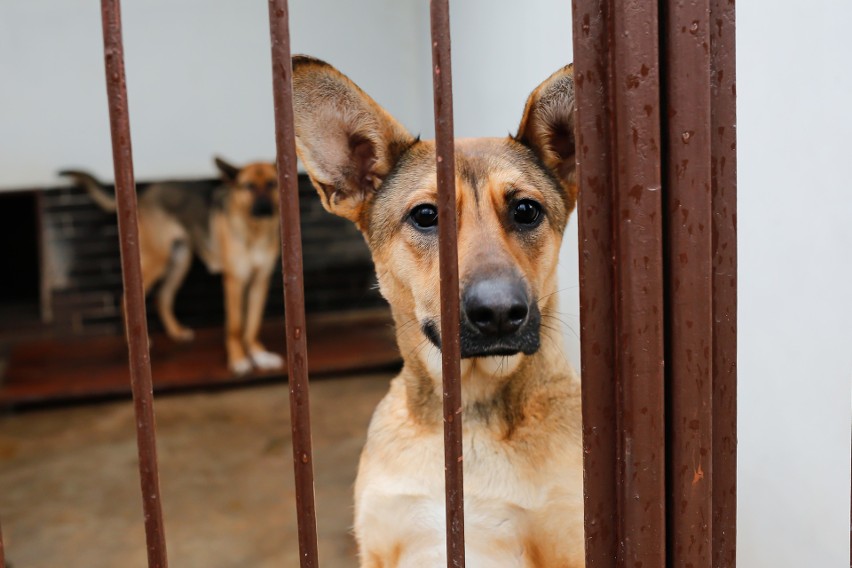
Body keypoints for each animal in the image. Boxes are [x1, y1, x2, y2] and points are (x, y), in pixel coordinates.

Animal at [64, 158, 282, 374]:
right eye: (249, 186)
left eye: (272, 184)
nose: (264, 207)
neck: (256, 231)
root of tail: (143, 195)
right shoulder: (234, 282)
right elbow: (235, 326)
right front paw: (238, 359)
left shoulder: (260, 281)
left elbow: (253, 323)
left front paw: (259, 355)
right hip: (155, 261)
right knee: (127, 300)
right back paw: (135, 345)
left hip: (180, 261)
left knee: (163, 297)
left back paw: (176, 332)